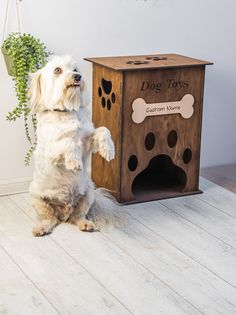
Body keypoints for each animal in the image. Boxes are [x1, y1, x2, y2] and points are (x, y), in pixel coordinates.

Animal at [29, 55, 121, 237]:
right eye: (57, 70)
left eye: (75, 69)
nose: (77, 77)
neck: (66, 111)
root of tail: (64, 212)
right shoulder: (51, 150)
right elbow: (68, 142)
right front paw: (74, 162)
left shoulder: (88, 142)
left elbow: (103, 130)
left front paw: (108, 150)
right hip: (36, 198)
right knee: (50, 217)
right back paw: (42, 228)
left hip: (89, 193)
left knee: (77, 216)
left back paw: (85, 223)